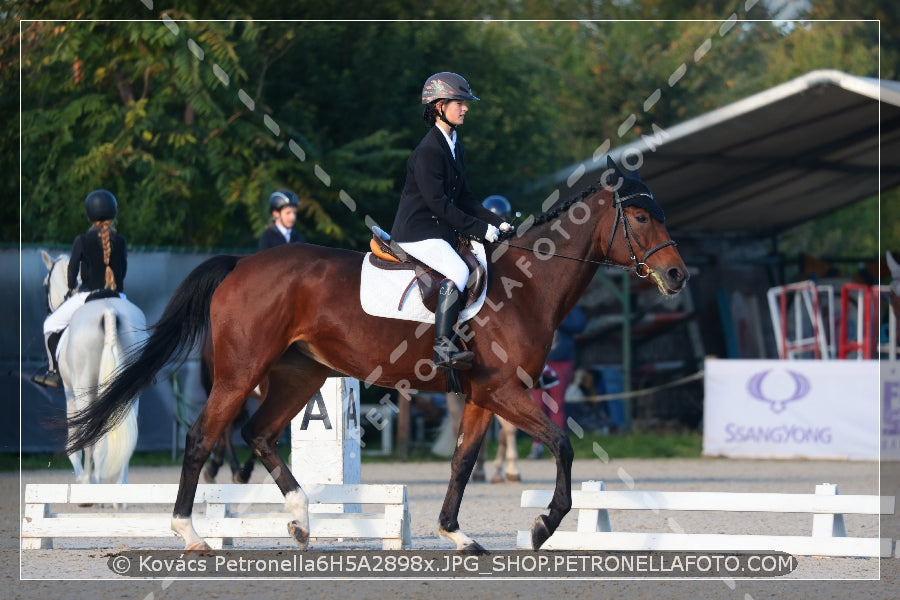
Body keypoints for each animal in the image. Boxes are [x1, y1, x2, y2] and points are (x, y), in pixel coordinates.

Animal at [40, 251, 146, 490]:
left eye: (45, 285)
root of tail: (108, 310)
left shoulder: (70, 395)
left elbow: (75, 443)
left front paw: (83, 478)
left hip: (84, 392)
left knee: (90, 439)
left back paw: (89, 484)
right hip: (129, 393)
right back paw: (119, 486)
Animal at [65, 158, 688, 552]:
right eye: (639, 217)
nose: (678, 275)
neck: (525, 287)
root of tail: (242, 263)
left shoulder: (484, 395)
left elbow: (462, 462)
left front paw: (457, 533)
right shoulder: (507, 391)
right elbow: (561, 444)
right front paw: (542, 527)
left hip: (299, 374)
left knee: (258, 434)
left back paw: (300, 520)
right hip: (241, 375)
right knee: (204, 439)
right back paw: (192, 535)